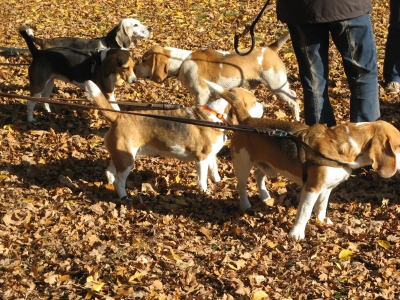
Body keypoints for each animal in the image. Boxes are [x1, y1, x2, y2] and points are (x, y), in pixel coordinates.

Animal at [84, 78, 264, 198]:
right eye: (254, 102)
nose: (264, 107)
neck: (216, 115)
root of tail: (118, 117)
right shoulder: (201, 159)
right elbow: (203, 179)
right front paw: (204, 191)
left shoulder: (211, 155)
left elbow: (214, 171)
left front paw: (218, 182)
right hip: (127, 160)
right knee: (119, 181)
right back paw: (123, 196)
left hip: (120, 156)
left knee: (109, 172)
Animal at [134, 32, 300, 120]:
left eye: (144, 60)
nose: (134, 68)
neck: (182, 62)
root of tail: (270, 48)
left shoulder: (201, 94)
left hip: (277, 85)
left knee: (294, 100)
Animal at [208, 81, 400, 240]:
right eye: (398, 146)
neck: (344, 148)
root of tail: (248, 120)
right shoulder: (312, 188)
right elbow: (305, 212)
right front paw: (296, 234)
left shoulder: (326, 188)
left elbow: (321, 207)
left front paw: (321, 221)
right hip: (242, 164)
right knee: (241, 186)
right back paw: (245, 204)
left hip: (268, 166)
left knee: (258, 175)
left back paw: (264, 196)